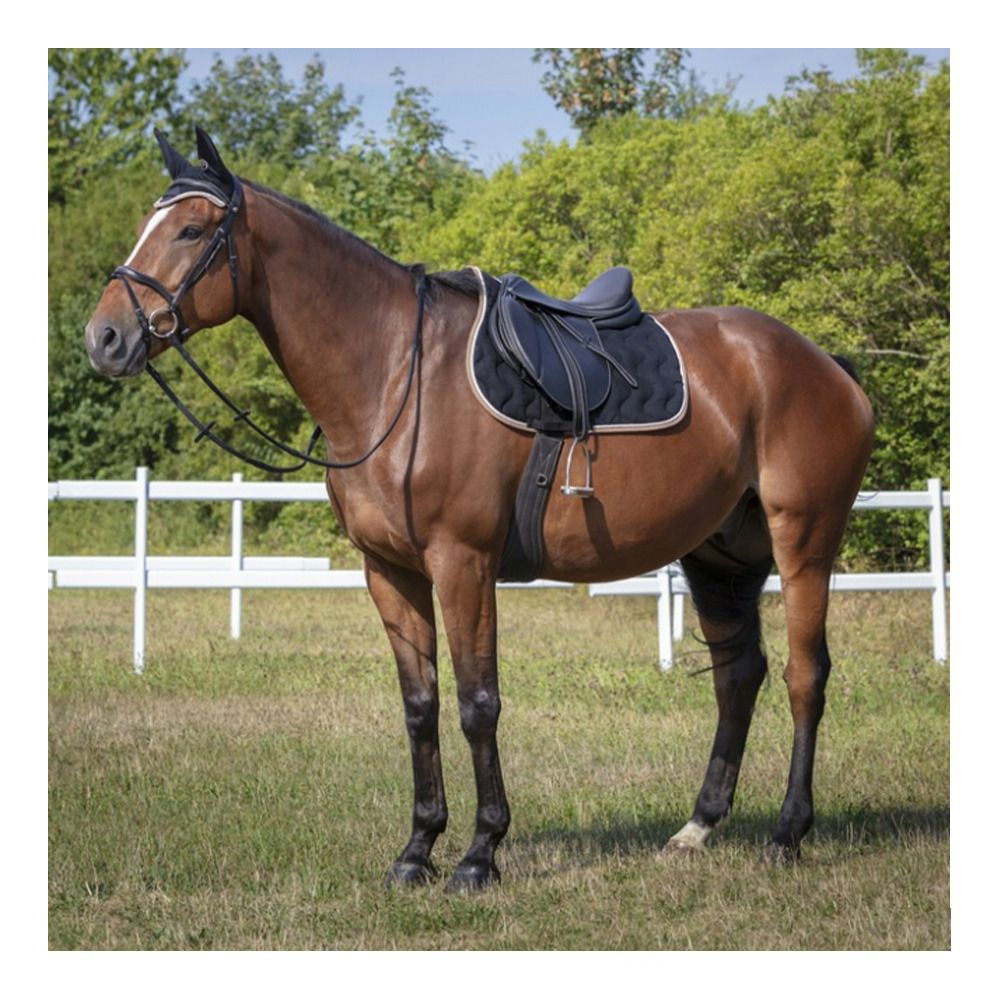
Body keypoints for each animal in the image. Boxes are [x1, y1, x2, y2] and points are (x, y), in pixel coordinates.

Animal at [84, 128, 874, 892]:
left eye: (190, 229)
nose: (104, 338)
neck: (397, 375)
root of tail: (825, 366)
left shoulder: (462, 563)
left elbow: (477, 702)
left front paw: (478, 855)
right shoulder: (390, 572)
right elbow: (421, 706)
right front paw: (416, 851)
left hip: (804, 544)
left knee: (806, 676)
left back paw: (787, 835)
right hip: (720, 556)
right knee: (739, 676)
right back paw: (697, 828)